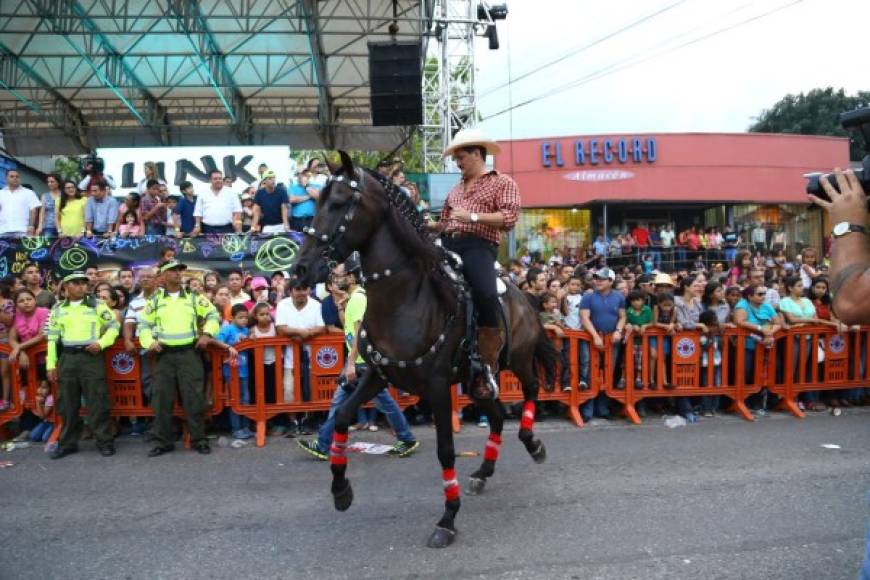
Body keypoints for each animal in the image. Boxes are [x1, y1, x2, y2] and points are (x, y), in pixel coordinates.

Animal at [292, 151, 560, 548]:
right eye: (317, 202)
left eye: (338, 203)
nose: (300, 269)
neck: (405, 299)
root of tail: (523, 295)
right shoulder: (379, 374)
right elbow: (341, 417)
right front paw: (341, 490)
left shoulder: (436, 388)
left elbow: (445, 450)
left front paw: (447, 519)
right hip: (477, 382)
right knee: (497, 414)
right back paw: (483, 470)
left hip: (519, 358)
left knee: (531, 389)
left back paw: (532, 441)